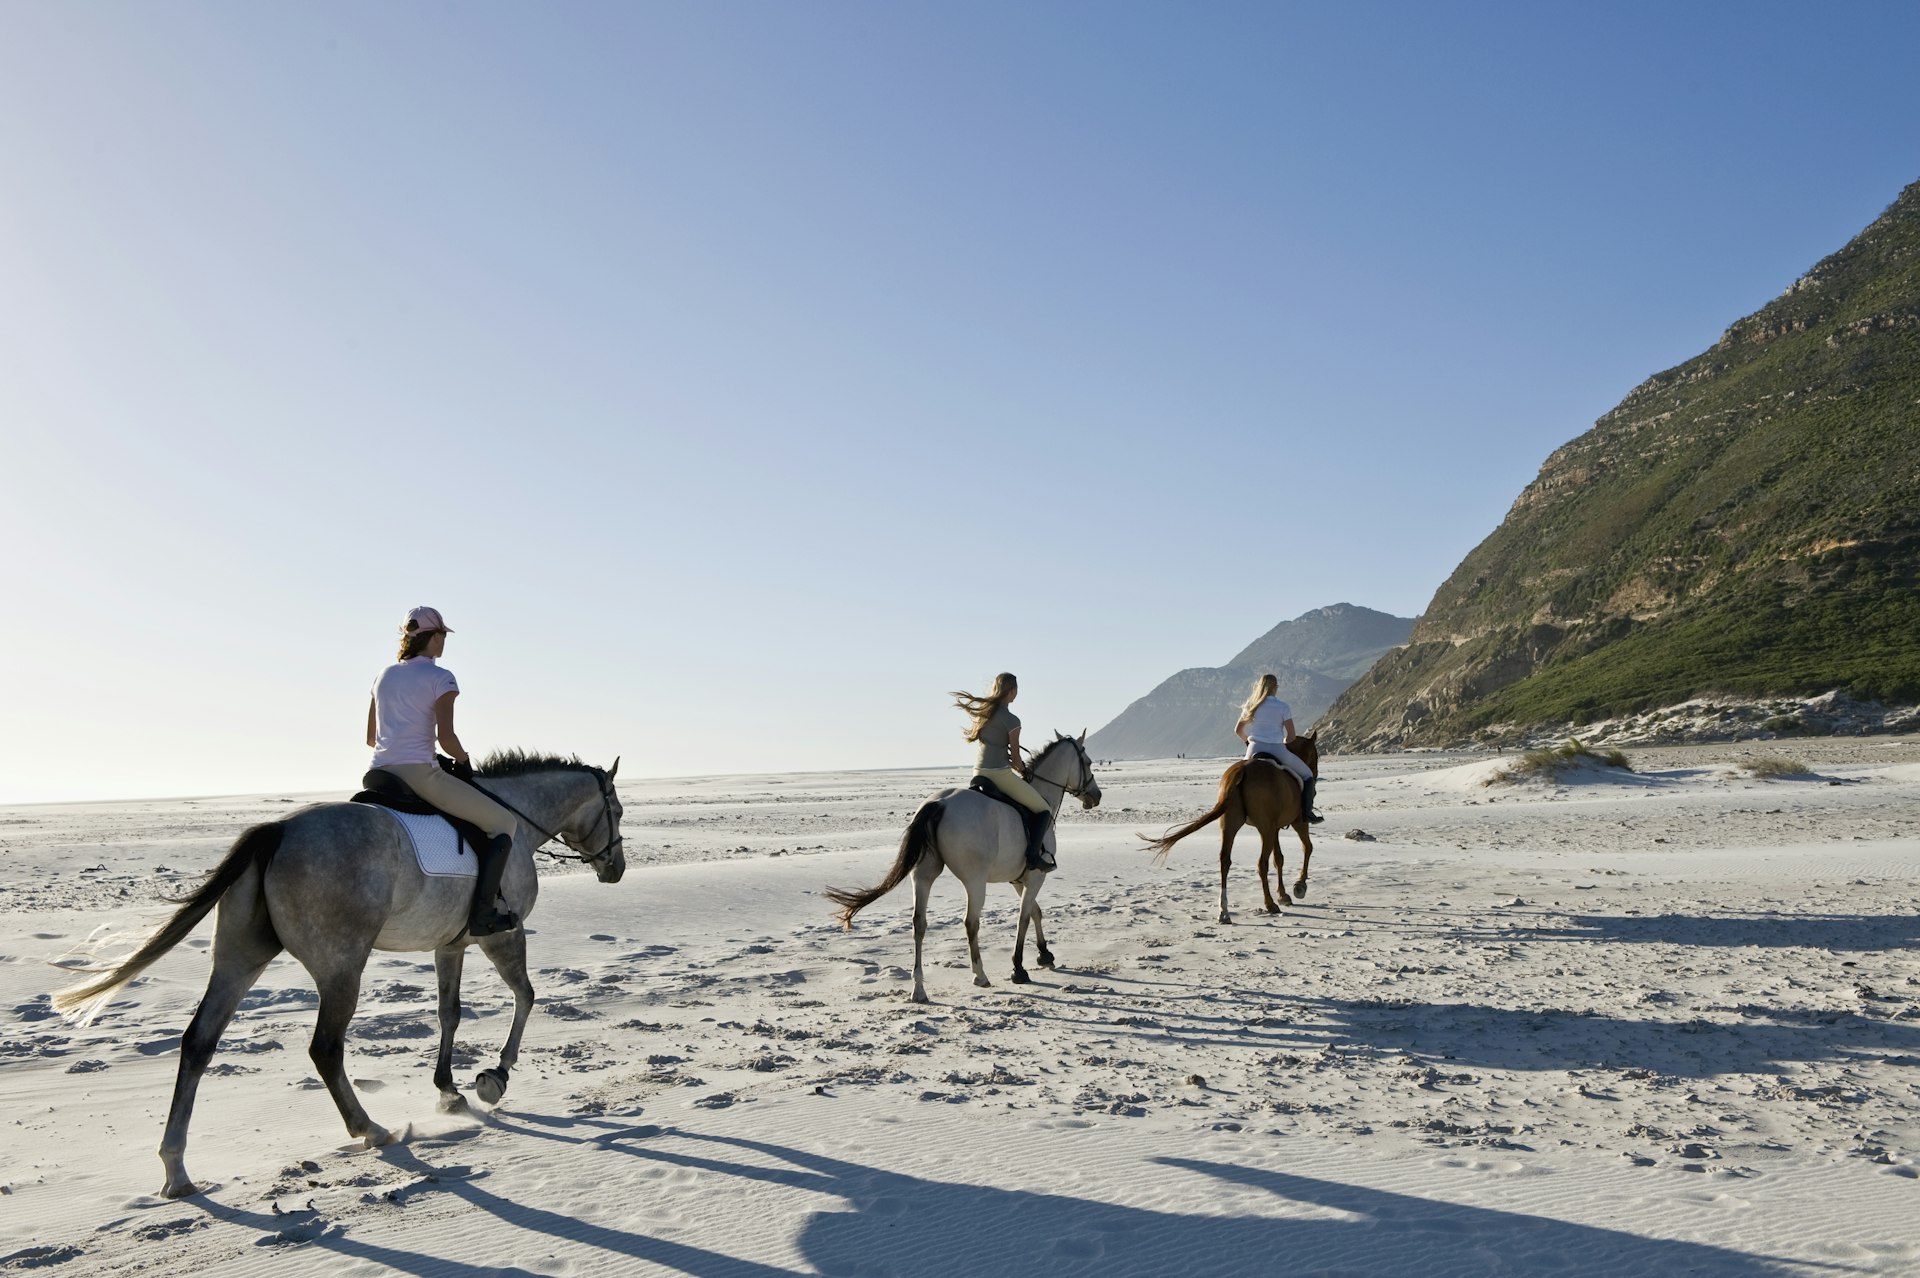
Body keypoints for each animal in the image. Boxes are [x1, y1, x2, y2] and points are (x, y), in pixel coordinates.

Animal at [54, 748, 622, 1197]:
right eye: (616, 810)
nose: (615, 869)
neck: (515, 819)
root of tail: (278, 831)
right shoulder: (501, 935)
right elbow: (526, 996)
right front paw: (493, 1079)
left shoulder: (451, 945)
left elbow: (449, 1013)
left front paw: (448, 1089)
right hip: (343, 965)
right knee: (325, 1048)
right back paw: (370, 1128)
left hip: (240, 958)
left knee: (199, 1042)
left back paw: (176, 1170)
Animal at [821, 733, 1098, 997]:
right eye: (1088, 762)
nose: (1096, 795)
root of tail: (939, 803)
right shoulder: (1035, 877)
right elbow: (1024, 918)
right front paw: (1019, 968)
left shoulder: (1019, 879)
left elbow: (1035, 912)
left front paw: (1044, 955)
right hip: (975, 881)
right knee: (970, 923)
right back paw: (979, 975)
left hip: (923, 875)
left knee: (919, 923)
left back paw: (919, 988)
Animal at [1136, 733, 1320, 921]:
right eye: (1316, 755)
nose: (1315, 774)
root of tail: (1243, 770)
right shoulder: (1297, 823)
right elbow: (1307, 848)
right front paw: (1299, 886)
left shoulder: (1275, 827)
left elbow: (1279, 859)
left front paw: (1283, 895)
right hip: (1265, 829)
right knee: (1261, 863)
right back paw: (1269, 904)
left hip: (1232, 824)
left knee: (1225, 859)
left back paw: (1224, 910)